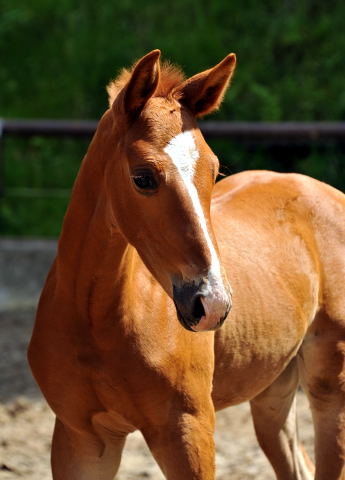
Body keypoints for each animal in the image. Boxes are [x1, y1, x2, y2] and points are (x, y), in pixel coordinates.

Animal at [28, 50, 344, 478]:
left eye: (214, 170)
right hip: (273, 390)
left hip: (330, 387)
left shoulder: (187, 430)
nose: (212, 304)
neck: (96, 320)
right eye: (142, 177)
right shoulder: (81, 437)